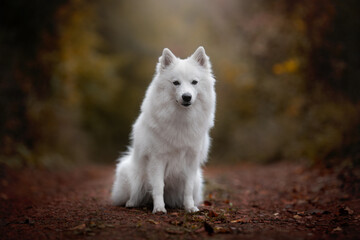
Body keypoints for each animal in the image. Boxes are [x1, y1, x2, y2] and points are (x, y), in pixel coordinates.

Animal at [111, 46, 215, 213]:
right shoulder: (157, 159)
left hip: (198, 180)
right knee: (135, 193)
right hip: (128, 172)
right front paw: (159, 208)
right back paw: (132, 203)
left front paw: (190, 208)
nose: (186, 97)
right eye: (176, 83)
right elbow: (159, 186)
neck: (181, 118)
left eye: (194, 82)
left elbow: (187, 188)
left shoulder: (191, 161)